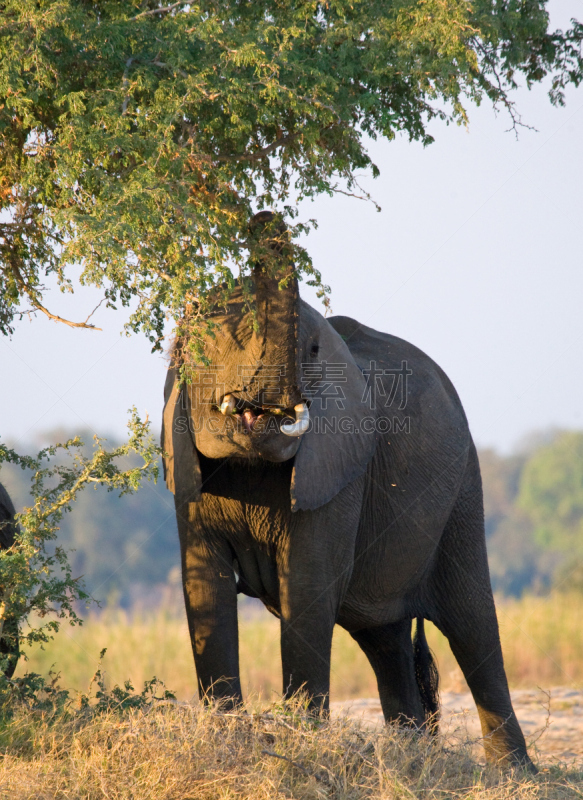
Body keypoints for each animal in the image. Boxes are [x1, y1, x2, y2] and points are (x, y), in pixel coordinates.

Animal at [162, 211, 536, 768]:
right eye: (217, 344)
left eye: (314, 351)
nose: (259, 217)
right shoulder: (187, 468)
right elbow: (204, 582)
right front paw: (225, 740)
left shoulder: (342, 471)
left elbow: (308, 586)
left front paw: (299, 743)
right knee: (385, 640)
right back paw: (411, 758)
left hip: (463, 490)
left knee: (472, 626)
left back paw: (514, 776)